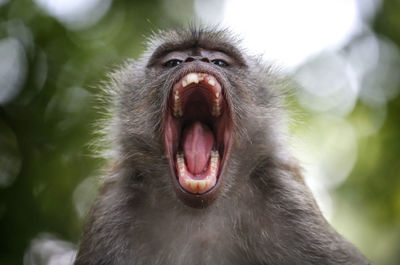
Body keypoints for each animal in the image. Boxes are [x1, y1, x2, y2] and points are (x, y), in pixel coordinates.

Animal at [73, 27, 370, 264]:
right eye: (173, 62)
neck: (200, 212)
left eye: (218, 61)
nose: (196, 59)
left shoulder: (288, 199)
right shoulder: (113, 209)